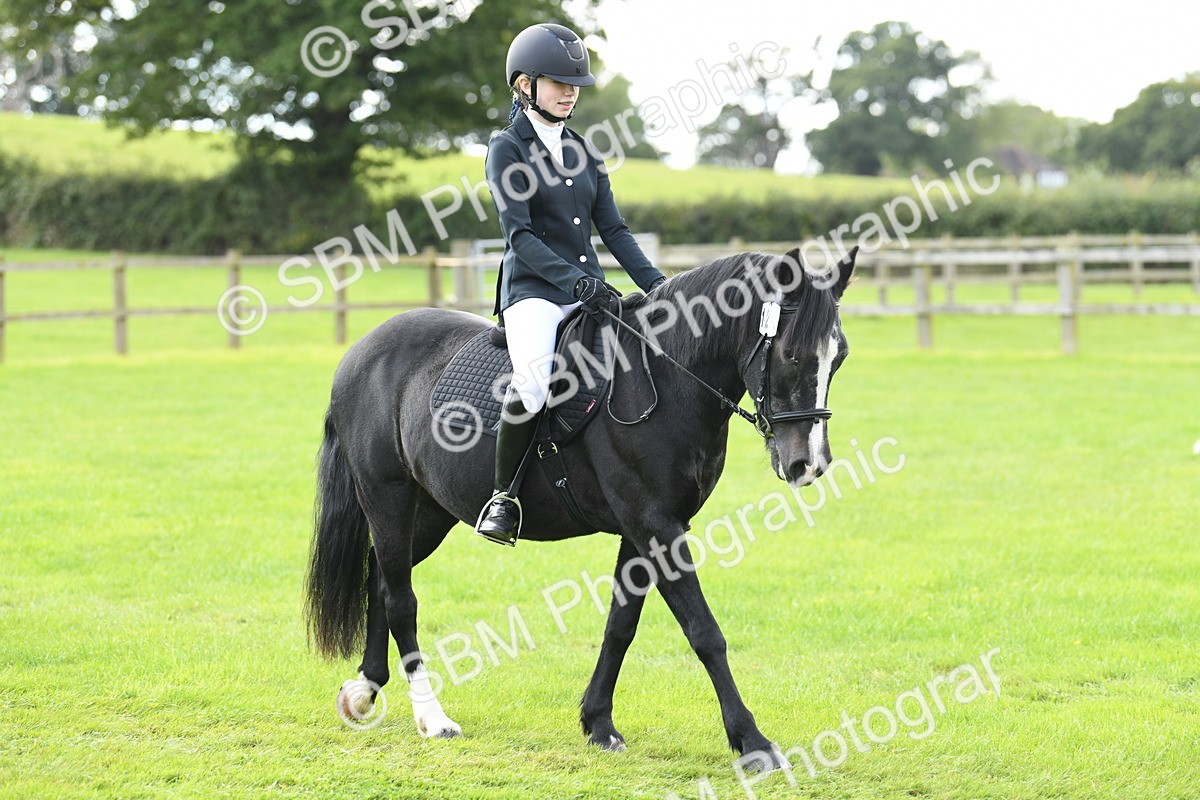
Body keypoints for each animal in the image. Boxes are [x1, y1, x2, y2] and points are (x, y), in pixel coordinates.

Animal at [305, 245, 858, 770]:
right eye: (790, 355)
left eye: (840, 357)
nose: (808, 463)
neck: (665, 377)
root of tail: (361, 351)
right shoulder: (655, 524)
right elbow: (704, 632)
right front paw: (753, 742)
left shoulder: (643, 528)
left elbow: (621, 626)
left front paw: (599, 724)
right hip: (388, 498)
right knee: (402, 598)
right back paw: (433, 717)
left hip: (428, 512)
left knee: (379, 576)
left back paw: (364, 690)